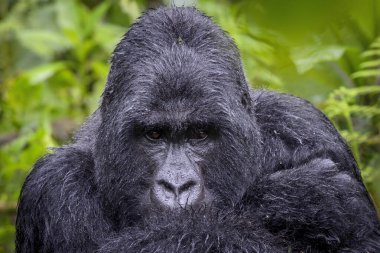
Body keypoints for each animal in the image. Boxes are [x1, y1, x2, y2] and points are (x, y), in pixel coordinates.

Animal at [15, 5, 380, 253]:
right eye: (155, 135)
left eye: (199, 134)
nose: (177, 186)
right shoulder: (55, 185)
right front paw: (298, 199)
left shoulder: (305, 125)